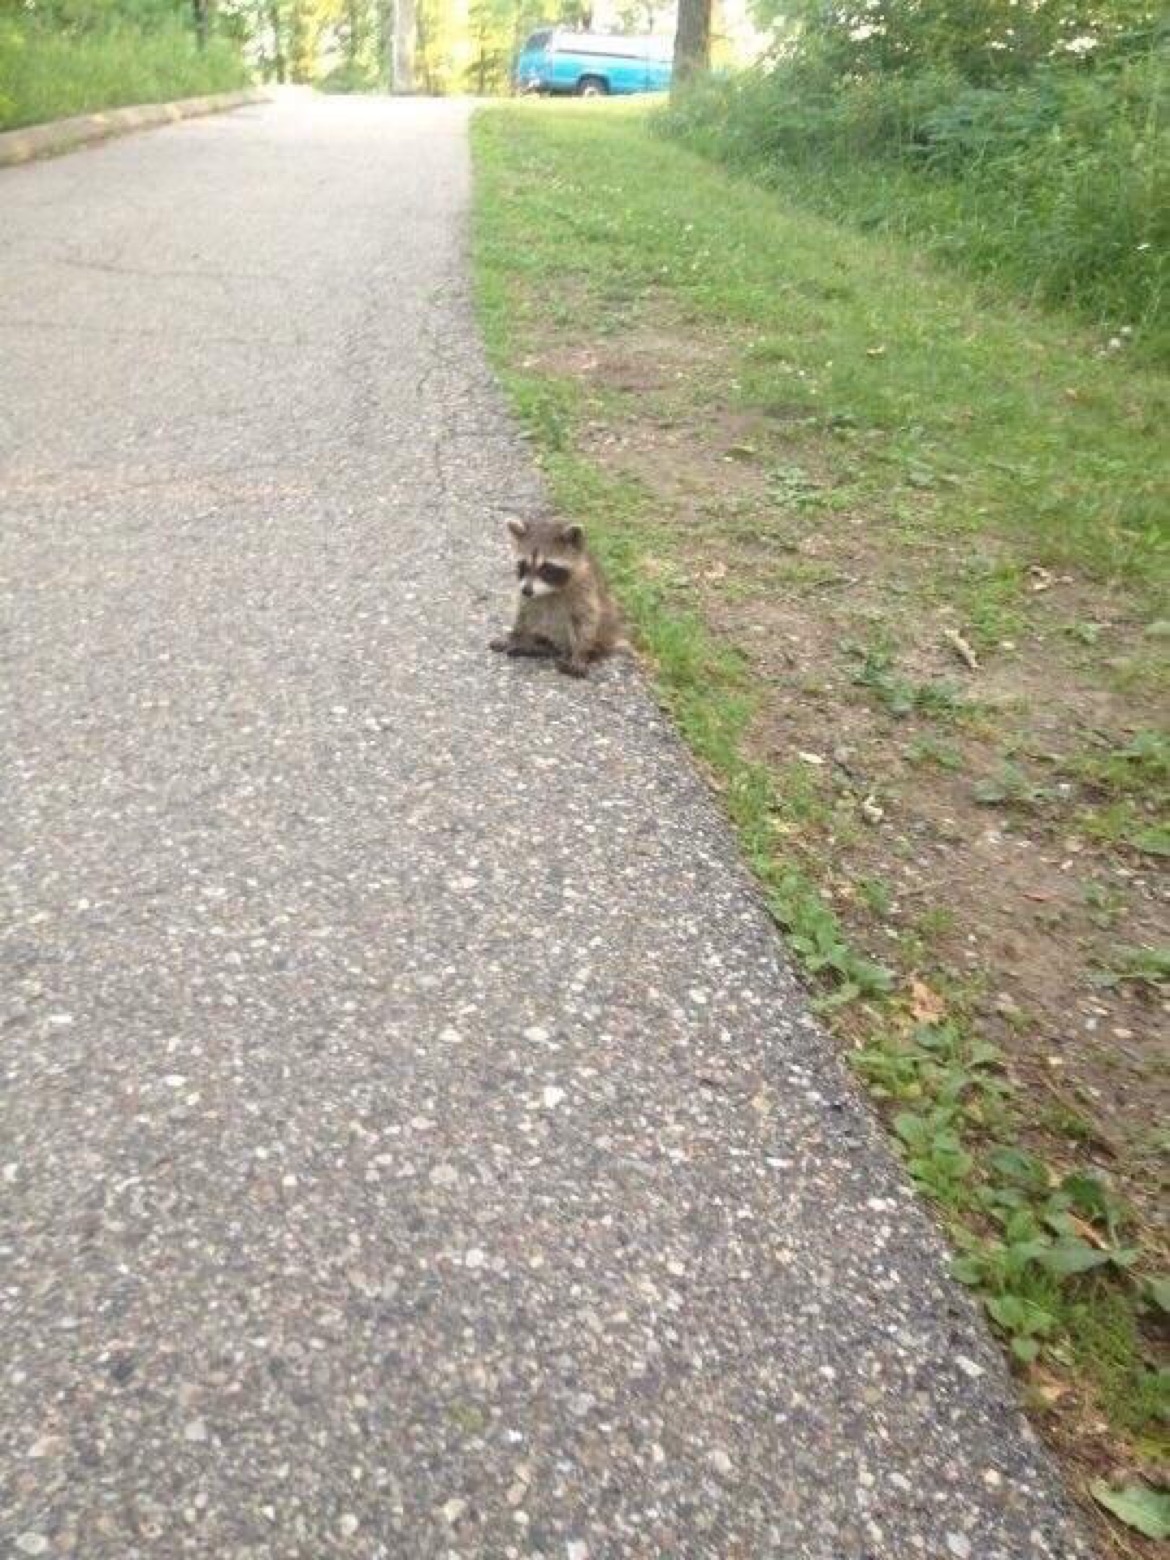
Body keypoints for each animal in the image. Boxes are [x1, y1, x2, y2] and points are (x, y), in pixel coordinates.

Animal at [492, 517, 624, 677]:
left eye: (546, 568)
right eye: (523, 565)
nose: (527, 591)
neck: (549, 590)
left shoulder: (584, 588)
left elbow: (585, 620)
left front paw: (580, 653)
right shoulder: (524, 593)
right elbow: (523, 613)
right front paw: (513, 636)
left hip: (605, 629)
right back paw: (535, 645)